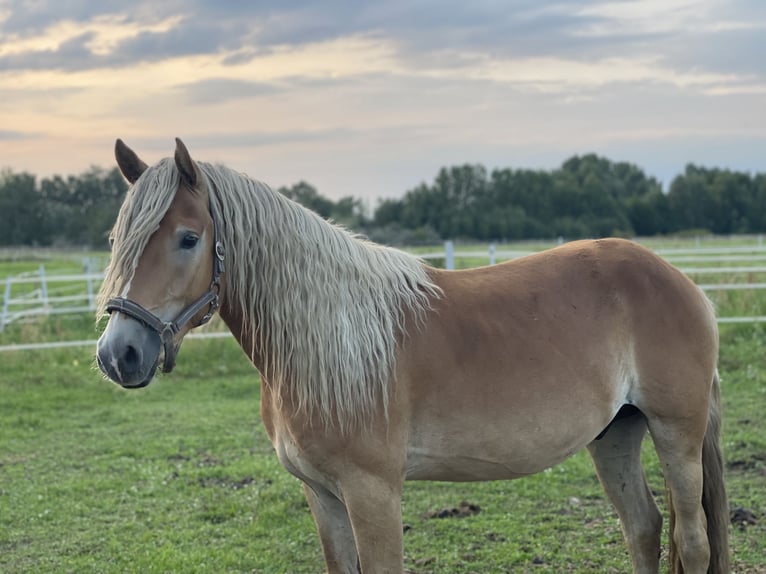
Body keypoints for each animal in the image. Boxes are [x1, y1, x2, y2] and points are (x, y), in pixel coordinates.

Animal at [96, 140, 732, 574]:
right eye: (118, 239)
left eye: (188, 238)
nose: (118, 354)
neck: (331, 342)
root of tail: (683, 282)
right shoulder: (322, 495)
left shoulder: (372, 493)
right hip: (615, 434)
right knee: (644, 529)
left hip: (675, 433)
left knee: (693, 540)